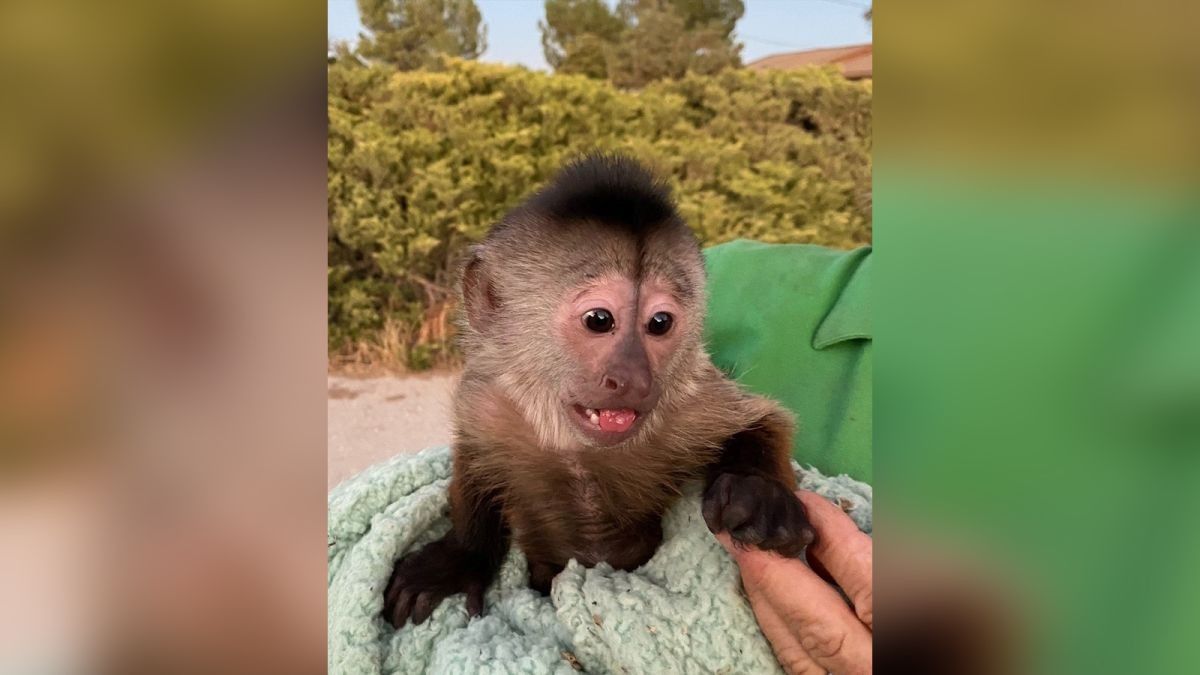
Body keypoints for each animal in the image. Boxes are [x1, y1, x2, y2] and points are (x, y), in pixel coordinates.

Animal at [383, 154, 815, 628]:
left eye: (659, 323)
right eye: (599, 320)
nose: (634, 378)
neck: (577, 447)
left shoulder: (689, 400)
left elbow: (761, 420)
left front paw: (758, 491)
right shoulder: (489, 402)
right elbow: (476, 459)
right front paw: (460, 558)